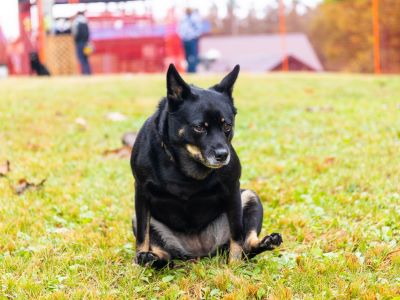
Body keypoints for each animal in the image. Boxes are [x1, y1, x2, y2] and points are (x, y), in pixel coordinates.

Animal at [131, 63, 282, 268]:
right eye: (199, 127)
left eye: (227, 126)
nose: (223, 155)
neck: (186, 164)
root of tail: (199, 252)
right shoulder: (141, 193)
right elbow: (142, 237)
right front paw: (137, 264)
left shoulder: (233, 190)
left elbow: (237, 234)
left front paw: (234, 266)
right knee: (165, 255)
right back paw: (151, 259)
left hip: (250, 197)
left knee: (246, 245)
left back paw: (266, 242)